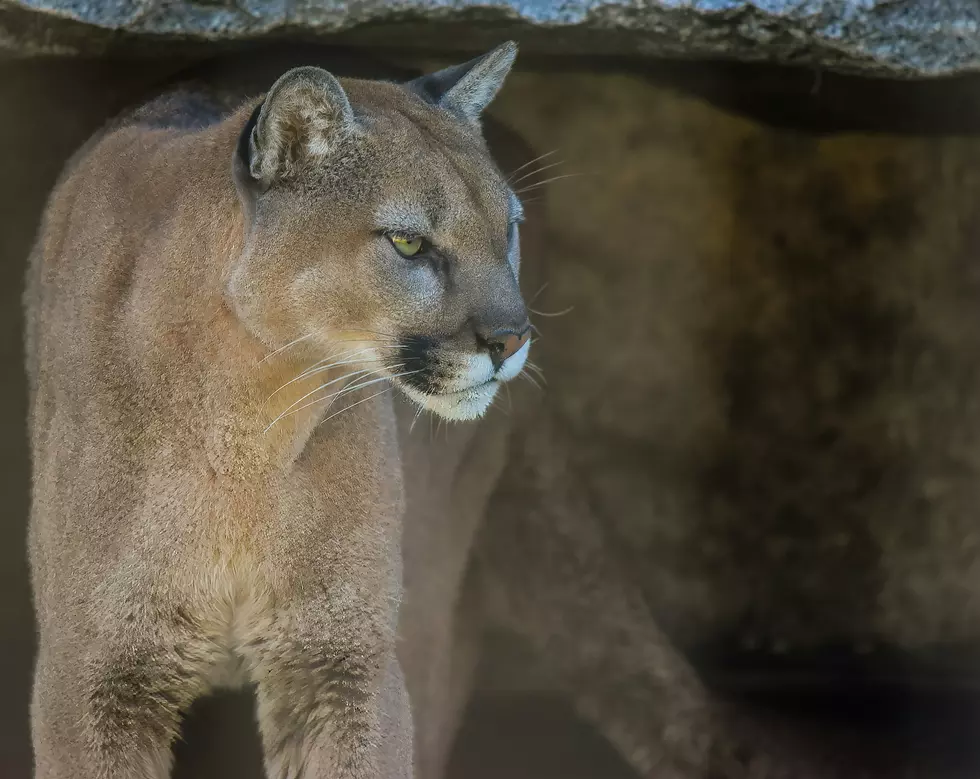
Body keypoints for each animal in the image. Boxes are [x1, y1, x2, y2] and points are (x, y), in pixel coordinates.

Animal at [23, 42, 530, 779]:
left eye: (509, 230)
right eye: (408, 243)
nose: (512, 336)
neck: (250, 421)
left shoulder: (345, 659)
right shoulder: (92, 668)